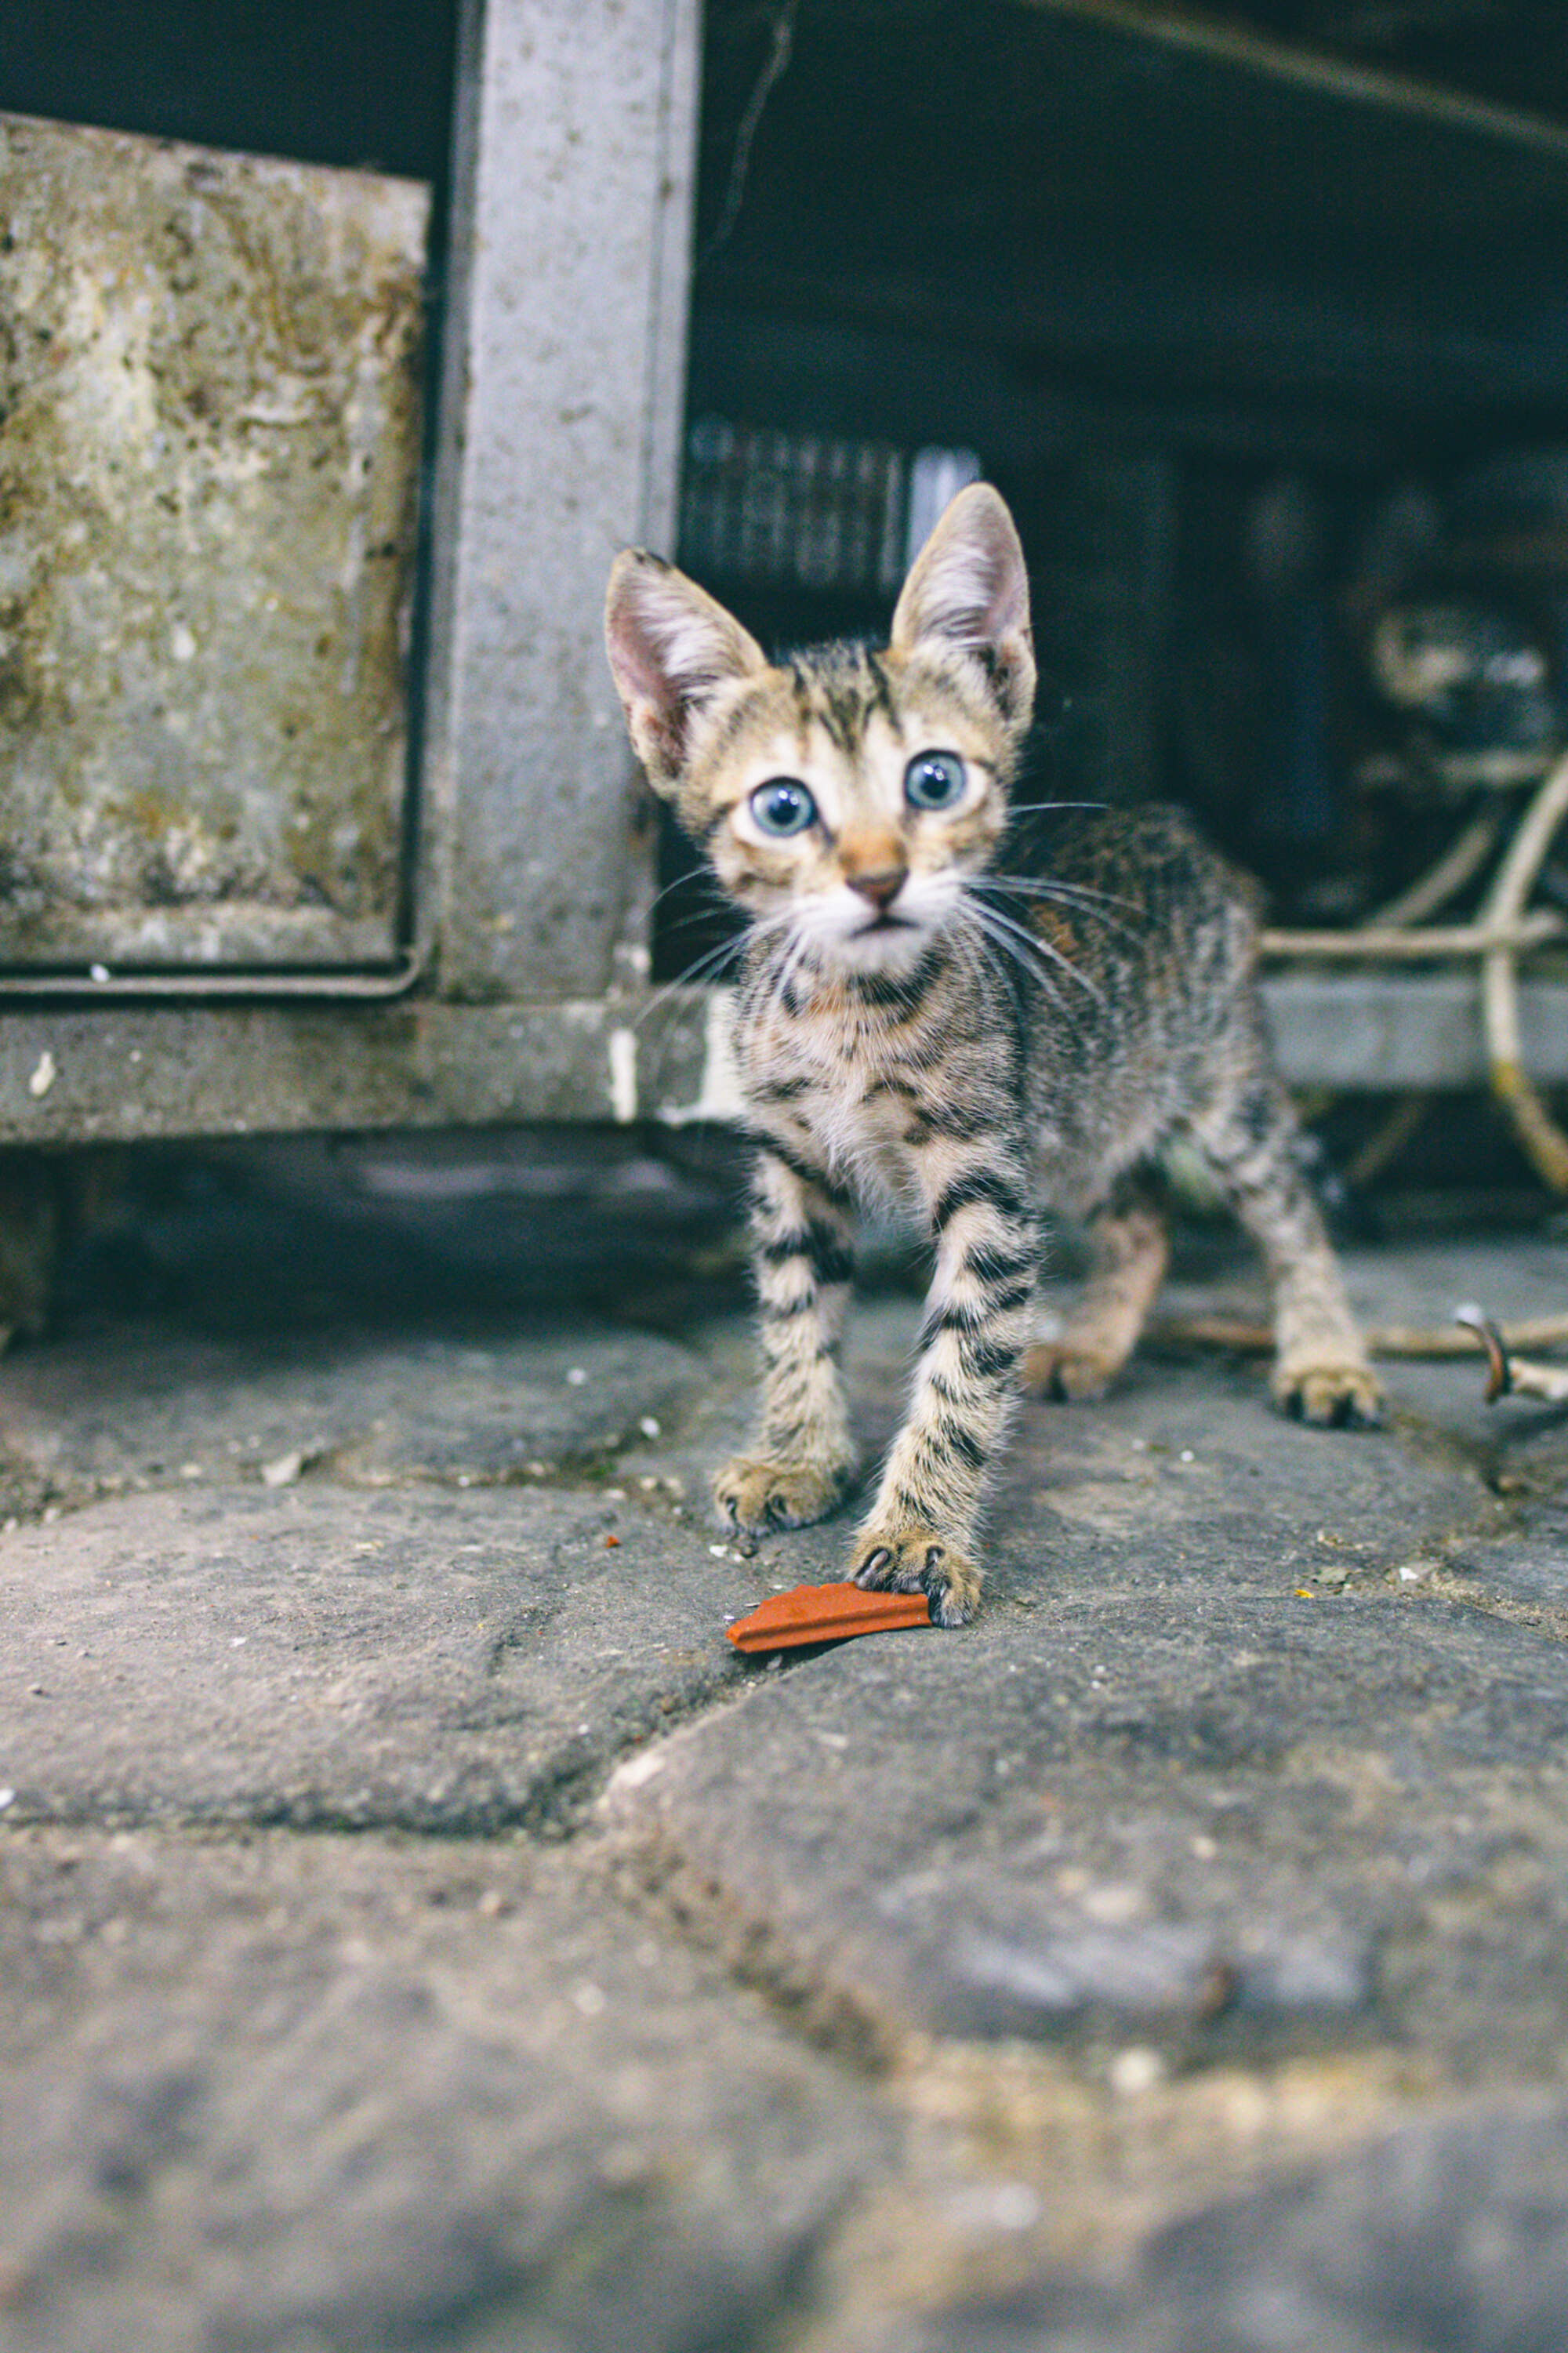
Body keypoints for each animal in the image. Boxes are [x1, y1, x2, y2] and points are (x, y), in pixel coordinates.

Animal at [602, 477, 1374, 1618]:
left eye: (931, 781)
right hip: (1080, 1116)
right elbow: (794, 1314)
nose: (877, 876)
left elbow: (963, 1365)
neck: (853, 1009)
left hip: (1214, 1085)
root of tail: (1188, 835)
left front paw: (921, 1529)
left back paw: (1325, 1356)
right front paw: (798, 1453)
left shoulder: (984, 1184)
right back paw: (1092, 1344)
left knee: (1288, 1214)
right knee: (1143, 1221)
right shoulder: (793, 1165)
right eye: (783, 806)